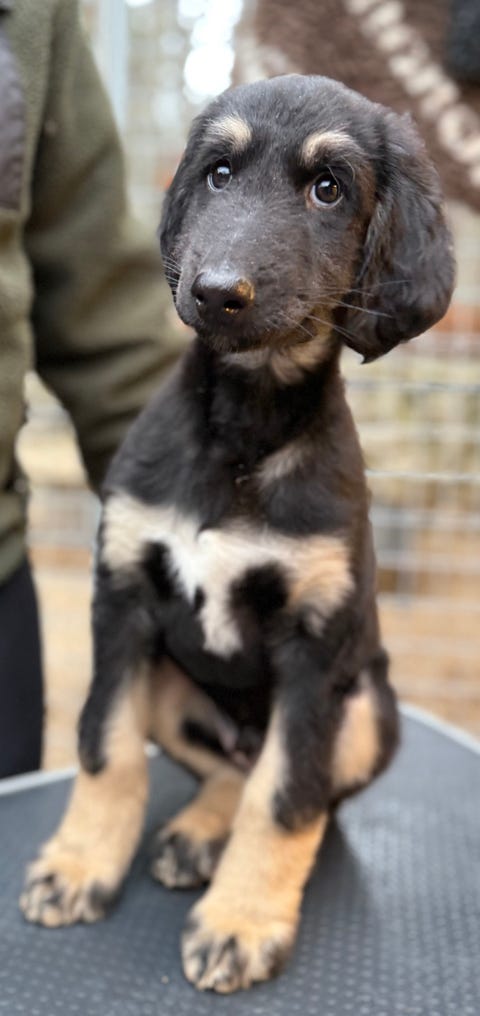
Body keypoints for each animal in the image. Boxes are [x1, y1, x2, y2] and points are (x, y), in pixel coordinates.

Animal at [20, 75, 455, 994]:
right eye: (218, 174)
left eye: (329, 188)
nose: (218, 291)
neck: (243, 436)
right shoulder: (123, 606)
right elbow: (104, 748)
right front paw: (81, 865)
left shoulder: (315, 650)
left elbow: (287, 797)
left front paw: (243, 921)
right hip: (173, 687)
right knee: (230, 764)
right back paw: (194, 835)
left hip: (369, 708)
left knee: (287, 780)